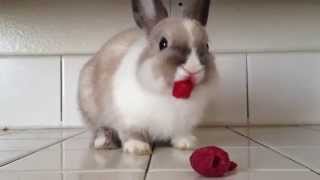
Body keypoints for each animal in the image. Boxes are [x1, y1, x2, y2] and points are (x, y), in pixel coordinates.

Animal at [78, 0, 218, 155]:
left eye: (207, 45)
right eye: (163, 43)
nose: (193, 68)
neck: (169, 94)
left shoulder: (182, 124)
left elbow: (180, 133)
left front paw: (186, 143)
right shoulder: (129, 119)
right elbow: (133, 133)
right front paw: (137, 147)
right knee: (99, 128)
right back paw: (103, 142)